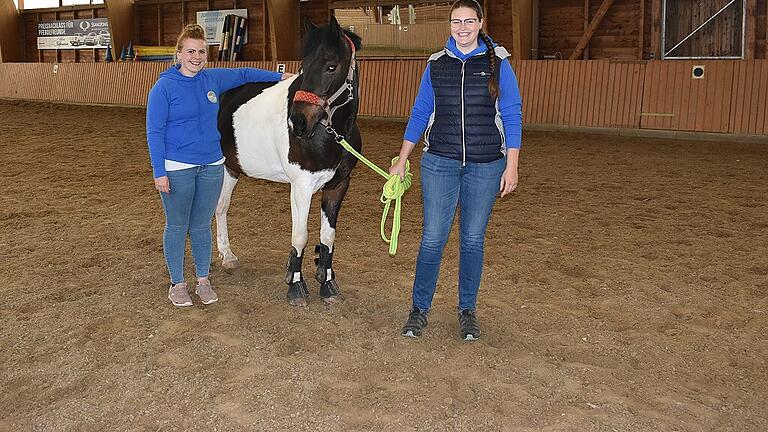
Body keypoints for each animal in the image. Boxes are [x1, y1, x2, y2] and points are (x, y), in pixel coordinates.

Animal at [214, 17, 362, 308]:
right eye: (303, 65)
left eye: (331, 66)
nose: (297, 122)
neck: (330, 133)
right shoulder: (301, 185)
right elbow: (300, 236)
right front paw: (295, 287)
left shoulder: (338, 185)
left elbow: (328, 237)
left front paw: (327, 284)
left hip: (230, 169)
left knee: (221, 208)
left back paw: (227, 256)